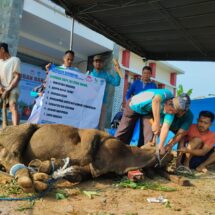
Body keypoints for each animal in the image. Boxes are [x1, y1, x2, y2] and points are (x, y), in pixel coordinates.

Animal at [0, 123, 171, 192]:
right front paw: (50, 164)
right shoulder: (90, 135)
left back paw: (36, 178)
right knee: (9, 155)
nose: (169, 152)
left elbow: (79, 174)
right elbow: (85, 154)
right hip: (23, 129)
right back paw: (27, 178)